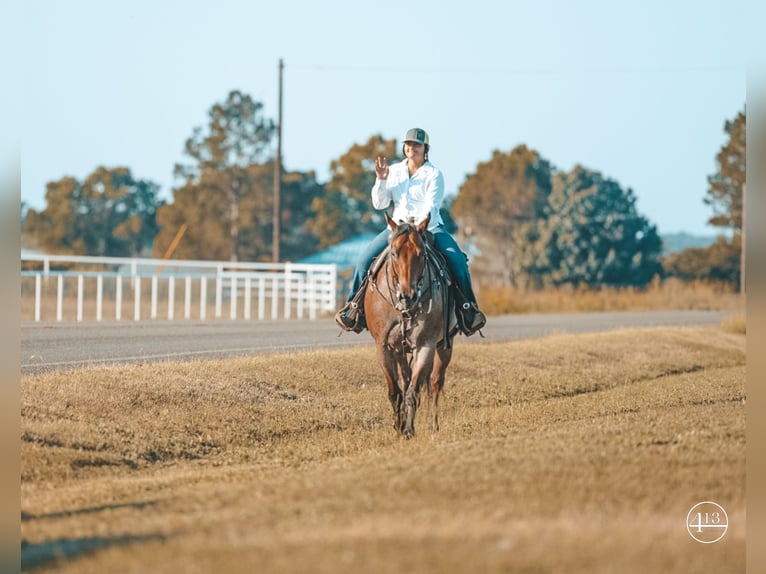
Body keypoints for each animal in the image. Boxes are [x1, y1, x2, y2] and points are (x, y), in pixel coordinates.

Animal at [364, 214, 456, 438]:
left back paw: (433, 426)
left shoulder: (425, 346)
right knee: (406, 381)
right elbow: (395, 391)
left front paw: (408, 430)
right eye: (394, 253)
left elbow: (414, 391)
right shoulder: (384, 347)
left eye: (421, 254)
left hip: (444, 346)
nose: (408, 295)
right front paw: (398, 427)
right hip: (400, 350)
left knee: (434, 383)